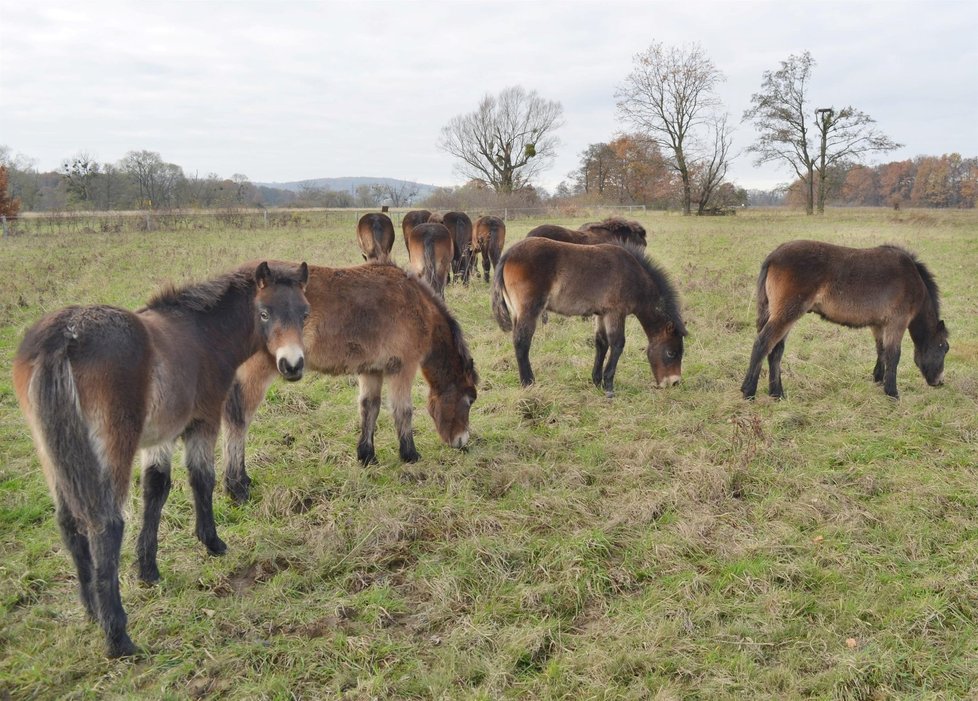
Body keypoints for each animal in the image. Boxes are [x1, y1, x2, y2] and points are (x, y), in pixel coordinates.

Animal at [12, 262, 308, 656]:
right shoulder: (203, 420)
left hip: (52, 453)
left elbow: (156, 489)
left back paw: (92, 610)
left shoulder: (161, 436)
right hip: (112, 448)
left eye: (304, 313)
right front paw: (212, 543)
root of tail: (63, 337)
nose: (292, 364)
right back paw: (118, 636)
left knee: (68, 521)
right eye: (264, 313)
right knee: (105, 524)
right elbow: (201, 479)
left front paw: (148, 570)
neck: (202, 333)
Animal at [488, 238, 688, 396]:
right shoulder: (616, 312)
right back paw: (528, 383)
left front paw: (597, 381)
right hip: (529, 310)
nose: (674, 382)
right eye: (671, 353)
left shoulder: (602, 314)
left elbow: (601, 343)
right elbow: (617, 344)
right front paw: (609, 386)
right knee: (522, 342)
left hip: (517, 312)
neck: (633, 276)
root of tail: (508, 254)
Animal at [740, 239, 944, 400]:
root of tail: (773, 256)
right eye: (943, 348)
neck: (912, 279)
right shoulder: (897, 322)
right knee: (763, 344)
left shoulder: (879, 324)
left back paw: (777, 393)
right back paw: (748, 391)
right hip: (787, 314)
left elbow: (882, 350)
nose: (939, 382)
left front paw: (878, 380)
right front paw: (892, 392)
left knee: (776, 351)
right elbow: (893, 355)